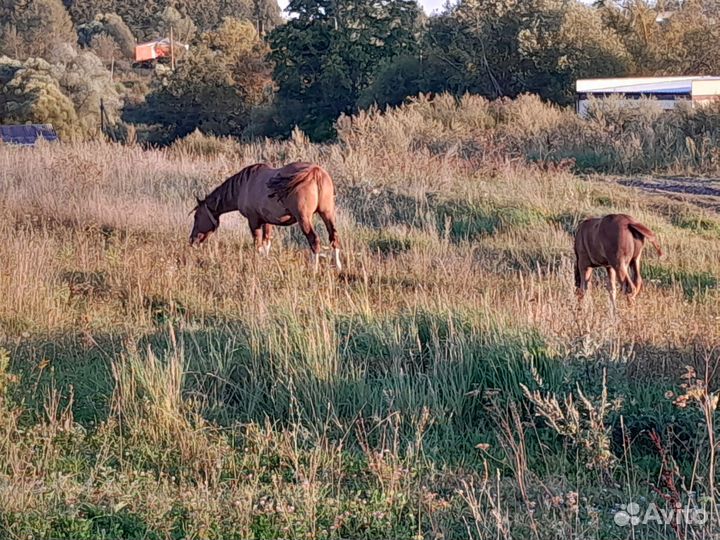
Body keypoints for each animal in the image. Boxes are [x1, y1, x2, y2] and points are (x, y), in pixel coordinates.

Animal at [188, 160, 340, 270]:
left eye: (197, 217)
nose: (191, 241)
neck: (244, 185)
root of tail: (315, 172)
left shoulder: (253, 221)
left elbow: (258, 245)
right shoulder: (267, 221)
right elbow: (267, 243)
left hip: (304, 219)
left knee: (314, 241)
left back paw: (314, 270)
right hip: (327, 214)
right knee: (334, 238)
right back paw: (338, 268)